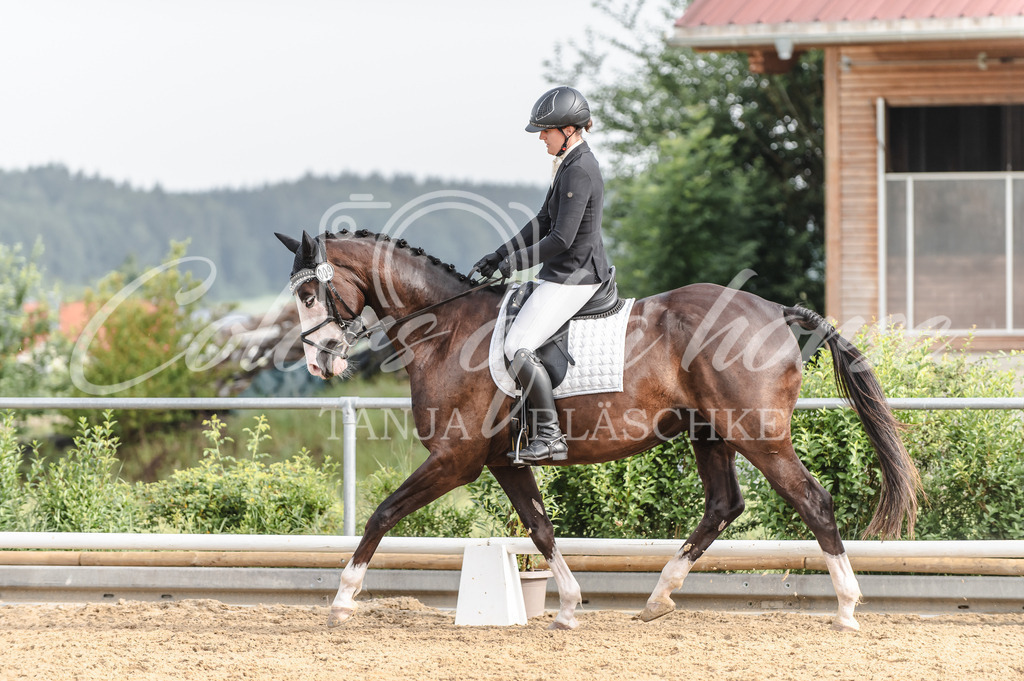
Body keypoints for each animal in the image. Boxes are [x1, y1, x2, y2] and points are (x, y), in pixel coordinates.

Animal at [276, 228, 925, 630]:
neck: (447, 329)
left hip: (758, 435)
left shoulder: (456, 460)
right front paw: (566, 606)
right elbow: (539, 529)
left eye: (309, 291)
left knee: (812, 501)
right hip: (710, 433)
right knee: (724, 504)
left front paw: (342, 600)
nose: (319, 362)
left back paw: (847, 608)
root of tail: (774, 311)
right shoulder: (502, 461)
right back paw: (658, 598)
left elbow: (383, 513)